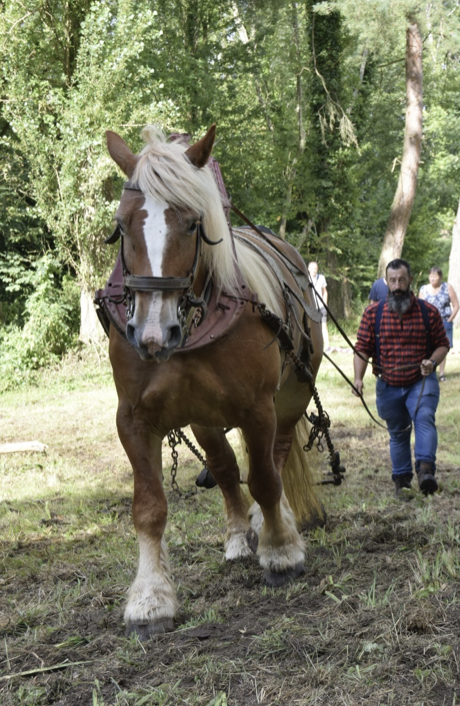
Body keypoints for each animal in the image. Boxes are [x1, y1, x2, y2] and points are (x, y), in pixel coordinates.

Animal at [101, 124, 325, 639]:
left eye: (191, 223)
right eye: (122, 225)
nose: (152, 334)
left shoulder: (258, 408)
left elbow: (264, 478)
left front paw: (281, 552)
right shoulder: (133, 418)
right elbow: (148, 507)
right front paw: (150, 599)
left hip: (291, 396)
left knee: (277, 458)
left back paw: (270, 523)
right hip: (203, 416)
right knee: (223, 468)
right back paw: (239, 536)